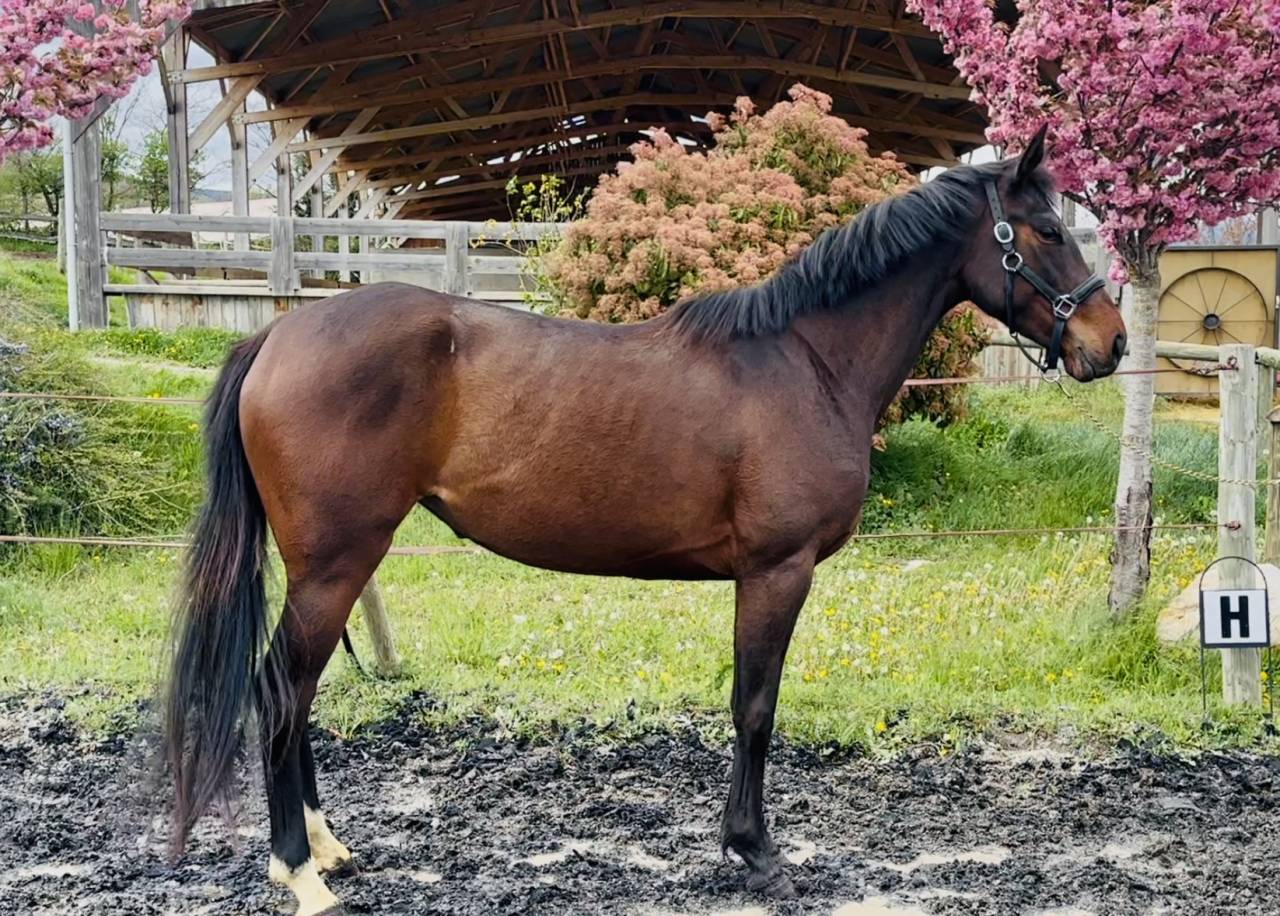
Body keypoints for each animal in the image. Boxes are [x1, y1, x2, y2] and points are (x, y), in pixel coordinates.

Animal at [162, 127, 1126, 914]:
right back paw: (300, 872)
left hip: (333, 567)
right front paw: (755, 853)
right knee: (280, 690)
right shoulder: (776, 571)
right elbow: (755, 707)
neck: (807, 361)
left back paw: (328, 848)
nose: (1109, 342)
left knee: (297, 693)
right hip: (335, 565)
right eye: (1047, 229)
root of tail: (276, 338)